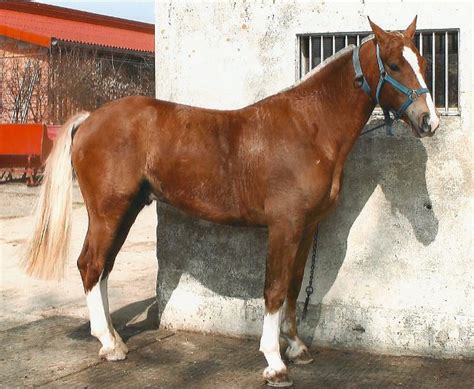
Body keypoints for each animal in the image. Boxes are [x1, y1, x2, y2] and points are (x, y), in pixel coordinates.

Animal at [21, 17, 436, 384]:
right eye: (395, 64)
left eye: (423, 63)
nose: (428, 121)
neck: (309, 128)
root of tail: (90, 119)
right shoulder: (284, 227)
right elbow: (274, 288)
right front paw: (274, 362)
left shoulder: (306, 228)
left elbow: (294, 284)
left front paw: (297, 348)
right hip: (109, 211)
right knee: (91, 265)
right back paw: (109, 344)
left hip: (126, 210)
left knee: (102, 268)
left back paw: (114, 339)